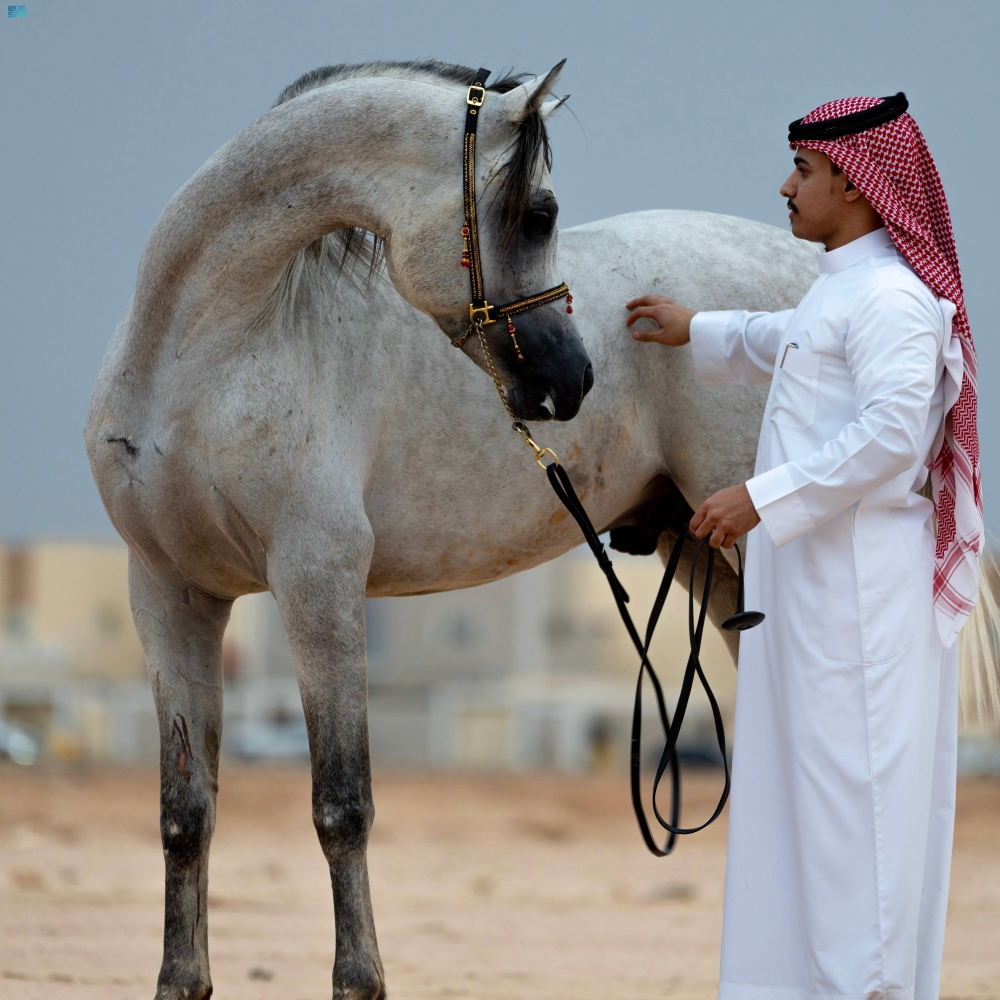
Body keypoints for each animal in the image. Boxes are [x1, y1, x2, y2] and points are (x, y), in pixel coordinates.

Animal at [84, 62, 820, 1000]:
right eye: (537, 213)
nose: (572, 378)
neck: (203, 356)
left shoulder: (316, 583)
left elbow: (342, 804)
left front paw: (358, 980)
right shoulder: (168, 592)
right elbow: (185, 813)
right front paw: (181, 982)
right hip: (711, 561)